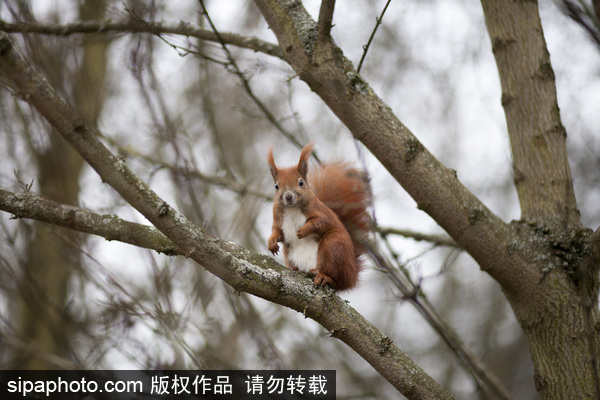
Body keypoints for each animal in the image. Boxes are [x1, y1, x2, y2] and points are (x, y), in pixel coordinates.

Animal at [268, 144, 370, 290]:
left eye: (301, 182)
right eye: (276, 186)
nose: (288, 196)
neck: (292, 208)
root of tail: (352, 275)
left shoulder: (320, 210)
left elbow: (322, 221)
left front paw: (304, 230)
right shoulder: (278, 217)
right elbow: (277, 231)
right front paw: (271, 241)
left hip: (333, 245)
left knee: (336, 280)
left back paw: (324, 276)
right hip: (291, 255)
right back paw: (297, 269)